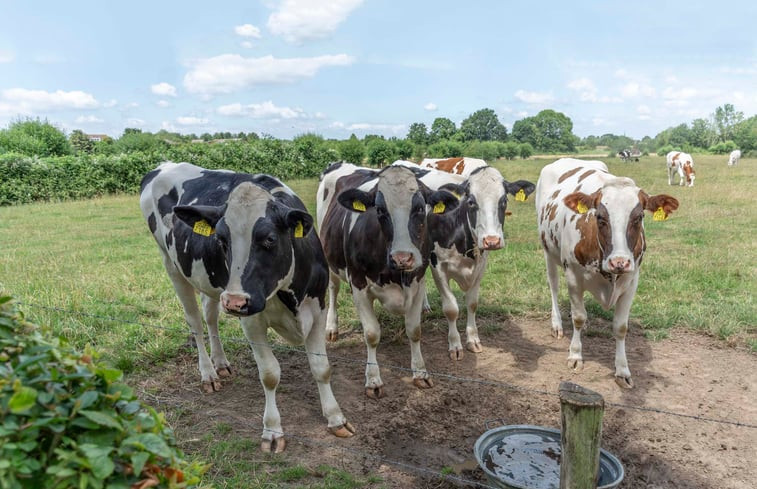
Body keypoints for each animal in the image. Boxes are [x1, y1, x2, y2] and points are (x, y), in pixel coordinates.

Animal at [140, 162, 354, 452]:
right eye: (221, 240)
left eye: (270, 239)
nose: (235, 302)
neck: (288, 293)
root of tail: (165, 164)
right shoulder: (251, 321)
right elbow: (270, 374)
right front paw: (272, 430)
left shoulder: (318, 310)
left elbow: (322, 368)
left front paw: (335, 418)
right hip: (173, 266)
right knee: (195, 321)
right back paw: (208, 374)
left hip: (211, 281)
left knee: (210, 315)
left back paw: (221, 362)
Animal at [316, 162, 458, 398]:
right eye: (380, 210)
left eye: (420, 208)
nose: (403, 257)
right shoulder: (358, 285)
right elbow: (372, 334)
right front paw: (373, 380)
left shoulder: (417, 283)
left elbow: (414, 330)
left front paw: (420, 373)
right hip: (330, 259)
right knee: (334, 289)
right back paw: (331, 328)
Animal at [392, 160, 536, 358]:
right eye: (471, 202)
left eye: (504, 201)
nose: (492, 241)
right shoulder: (438, 266)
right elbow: (451, 309)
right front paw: (455, 345)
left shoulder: (481, 265)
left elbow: (472, 304)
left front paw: (473, 339)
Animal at [532, 158, 680, 386]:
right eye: (600, 217)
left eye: (638, 217)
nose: (619, 261)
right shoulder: (573, 276)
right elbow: (578, 318)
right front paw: (575, 355)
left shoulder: (631, 280)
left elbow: (620, 327)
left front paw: (622, 369)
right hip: (548, 251)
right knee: (553, 286)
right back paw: (556, 324)